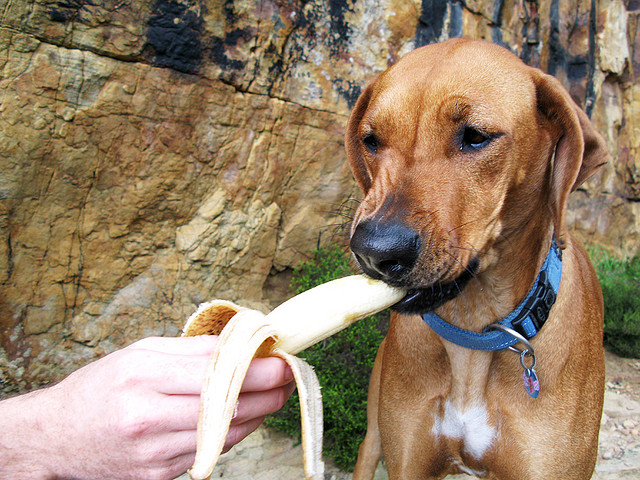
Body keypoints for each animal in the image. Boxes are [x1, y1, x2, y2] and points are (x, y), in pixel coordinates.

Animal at [348, 38, 608, 480]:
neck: (473, 332)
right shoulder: (408, 458)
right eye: (371, 140)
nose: (374, 251)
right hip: (375, 433)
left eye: (475, 136)